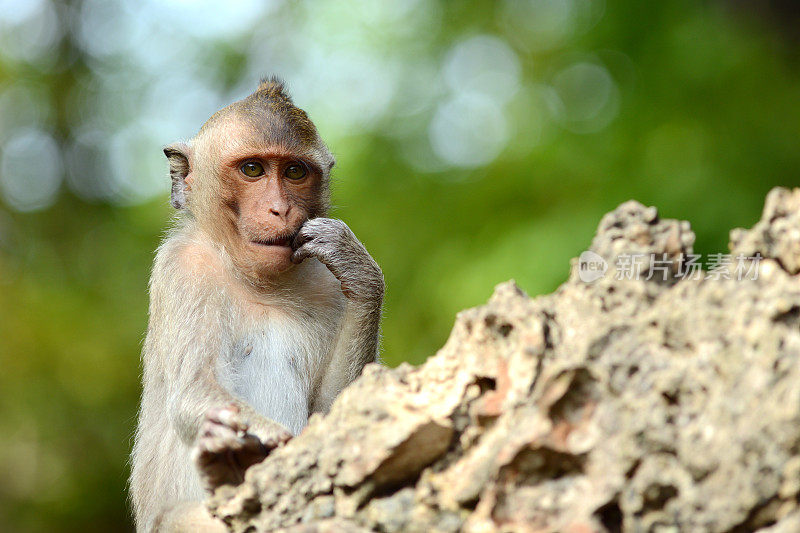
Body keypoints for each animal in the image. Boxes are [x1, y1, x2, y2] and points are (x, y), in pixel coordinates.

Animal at [129, 77, 384, 528]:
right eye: (253, 169)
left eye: (295, 172)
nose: (279, 208)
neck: (256, 282)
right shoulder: (183, 270)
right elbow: (195, 392)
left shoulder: (327, 286)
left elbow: (332, 414)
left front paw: (358, 268)